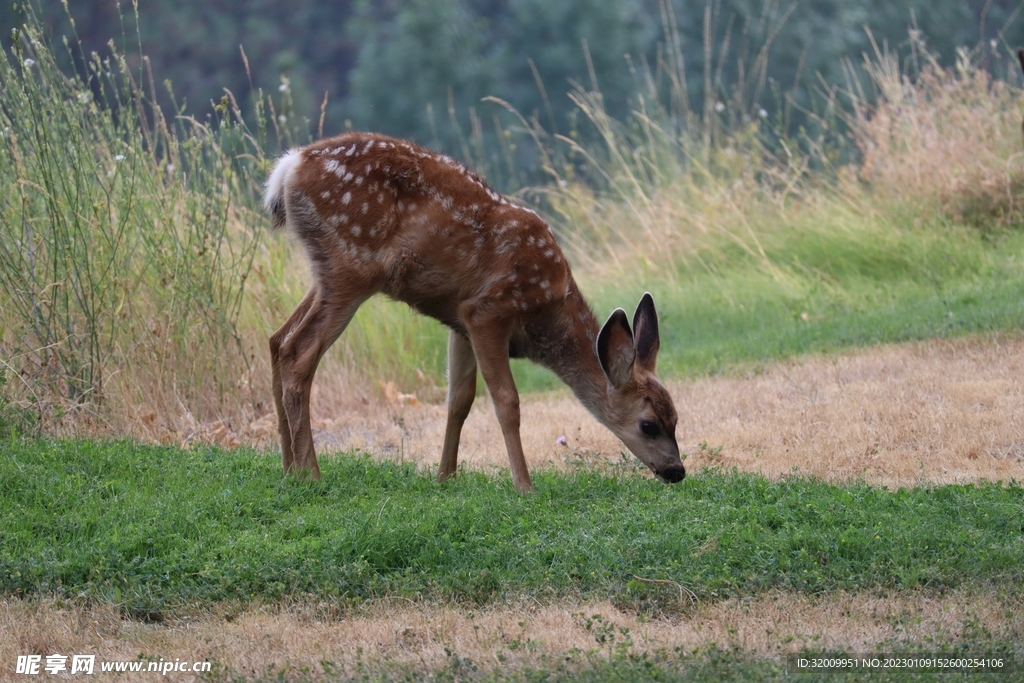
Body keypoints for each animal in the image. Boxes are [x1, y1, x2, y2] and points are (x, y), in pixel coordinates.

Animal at [263, 132, 685, 492]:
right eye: (648, 425)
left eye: (676, 418)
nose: (677, 471)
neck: (546, 312)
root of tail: (289, 167)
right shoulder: (488, 310)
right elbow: (506, 401)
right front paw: (524, 486)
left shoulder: (459, 321)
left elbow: (459, 400)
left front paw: (444, 477)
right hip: (351, 266)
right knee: (299, 352)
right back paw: (311, 474)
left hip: (327, 273)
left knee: (277, 340)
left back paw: (286, 469)